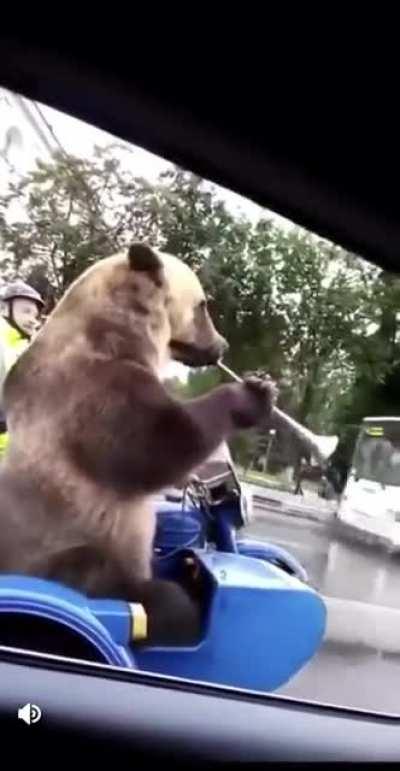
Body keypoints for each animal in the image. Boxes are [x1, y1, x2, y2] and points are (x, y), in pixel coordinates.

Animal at [0, 242, 277, 645]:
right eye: (203, 305)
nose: (221, 345)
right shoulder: (87, 388)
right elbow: (154, 442)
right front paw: (251, 396)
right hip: (54, 557)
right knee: (126, 586)